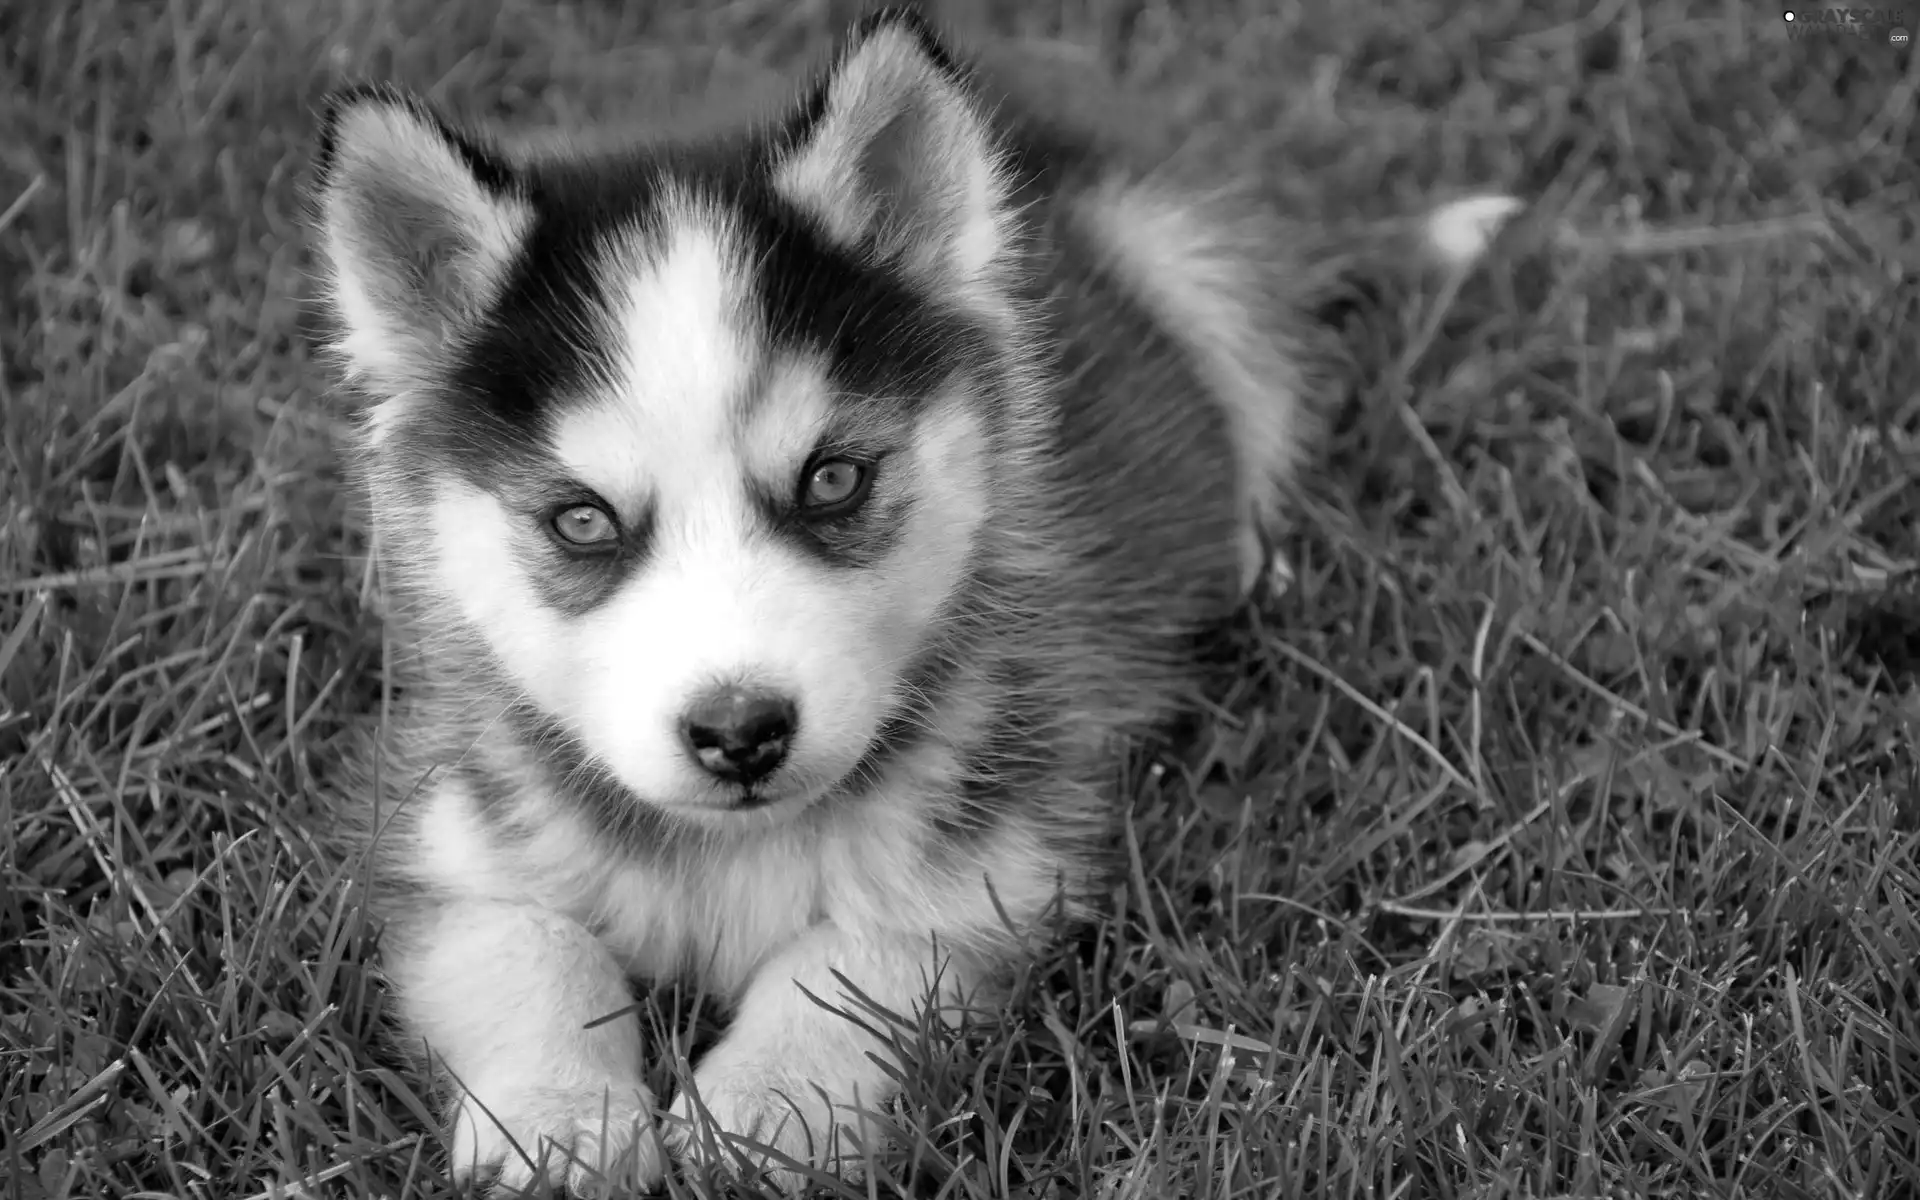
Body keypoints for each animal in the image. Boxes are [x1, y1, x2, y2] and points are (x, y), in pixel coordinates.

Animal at [311, 7, 1512, 1190]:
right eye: (581, 522)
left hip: (1193, 272)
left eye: (834, 479)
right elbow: (532, 949)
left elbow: (854, 959)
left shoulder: (998, 854)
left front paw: (764, 1108)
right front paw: (557, 1121)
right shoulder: (450, 834)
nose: (741, 733)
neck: (736, 853)